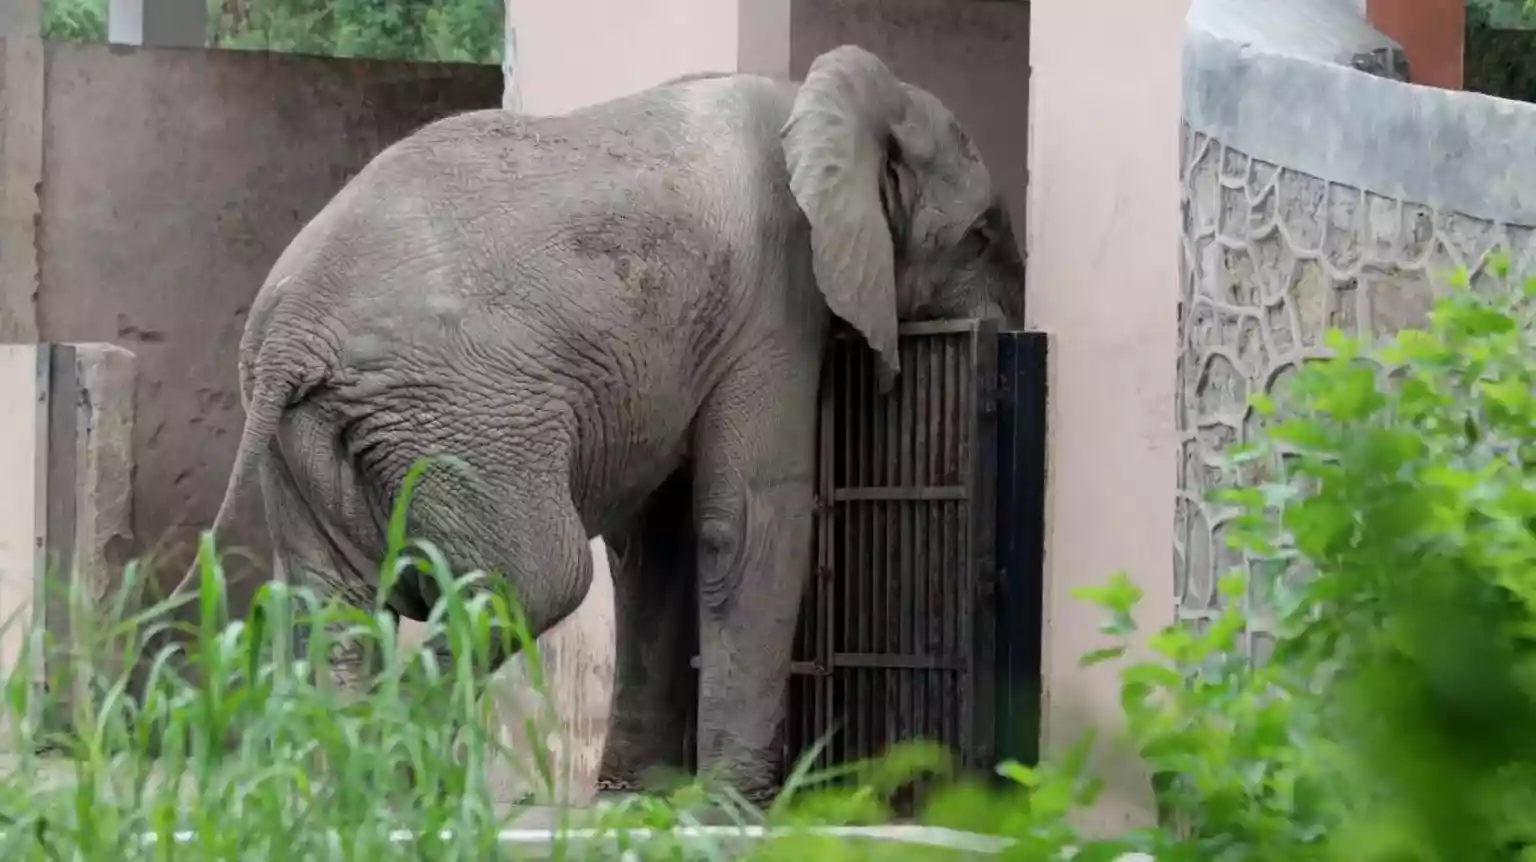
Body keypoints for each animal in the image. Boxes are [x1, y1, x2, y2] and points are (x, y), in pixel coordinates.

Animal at [197, 43, 1027, 799]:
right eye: (983, 236)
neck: (819, 103)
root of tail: (290, 336)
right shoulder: (777, 294)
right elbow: (747, 522)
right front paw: (732, 809)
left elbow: (657, 547)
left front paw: (640, 799)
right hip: (459, 423)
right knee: (540, 577)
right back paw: (393, 787)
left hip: (316, 439)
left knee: (332, 610)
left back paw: (345, 798)